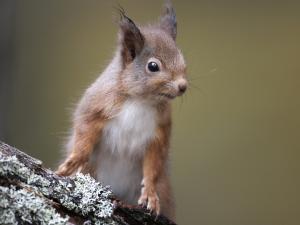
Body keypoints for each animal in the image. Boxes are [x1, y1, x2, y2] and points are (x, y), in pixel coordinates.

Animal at [56, 0, 186, 220]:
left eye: (183, 59)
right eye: (153, 66)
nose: (183, 86)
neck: (140, 101)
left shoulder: (159, 133)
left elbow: (153, 165)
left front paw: (150, 194)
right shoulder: (95, 107)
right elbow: (84, 133)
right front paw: (72, 163)